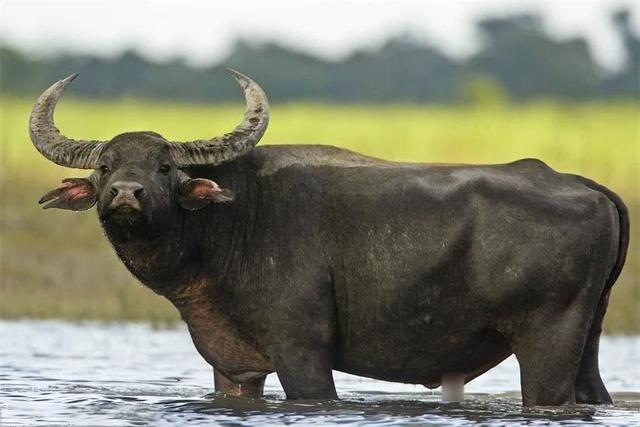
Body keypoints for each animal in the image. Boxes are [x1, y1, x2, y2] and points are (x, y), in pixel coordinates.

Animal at [28, 71, 624, 408]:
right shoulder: (232, 368)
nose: (126, 194)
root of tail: (585, 186)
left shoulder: (304, 355)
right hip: (587, 341)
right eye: (106, 165)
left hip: (546, 345)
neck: (231, 227)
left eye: (165, 166)